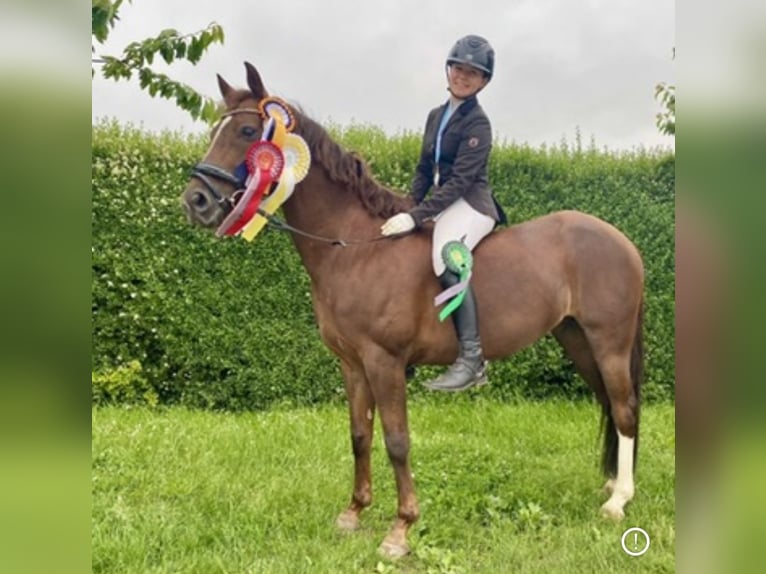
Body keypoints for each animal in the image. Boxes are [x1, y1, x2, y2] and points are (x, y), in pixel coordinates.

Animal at [183, 62, 644, 560]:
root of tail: (622, 241)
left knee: (624, 408)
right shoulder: (352, 364)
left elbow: (397, 441)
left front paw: (400, 530)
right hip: (576, 338)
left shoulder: (385, 362)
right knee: (608, 402)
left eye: (249, 131)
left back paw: (619, 501)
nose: (196, 201)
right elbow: (360, 434)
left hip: (609, 342)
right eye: (215, 130)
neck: (356, 247)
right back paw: (611, 485)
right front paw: (353, 513)